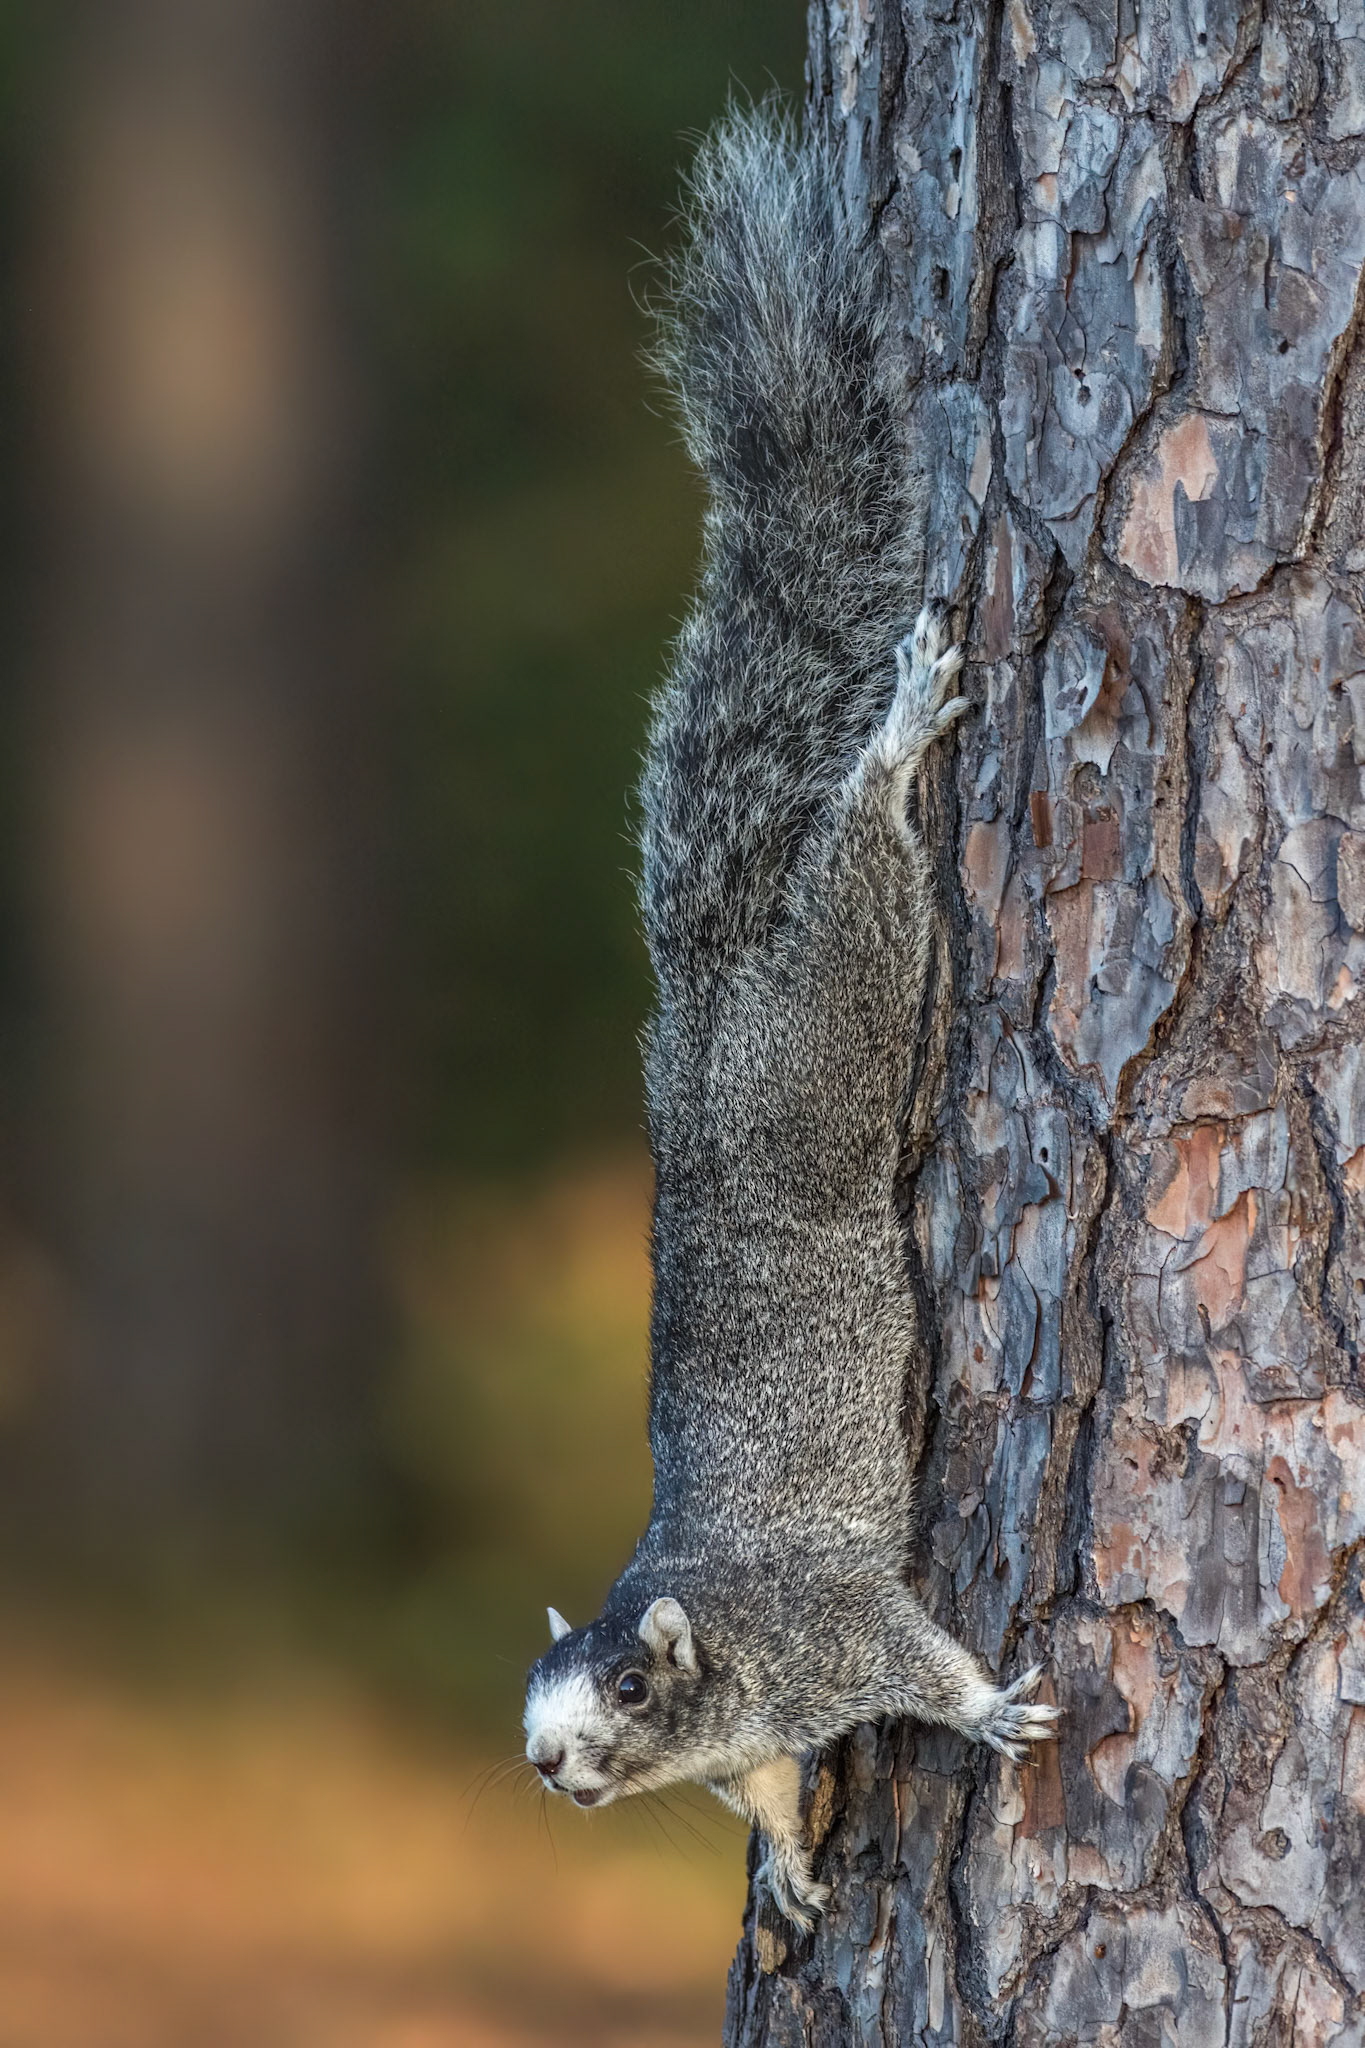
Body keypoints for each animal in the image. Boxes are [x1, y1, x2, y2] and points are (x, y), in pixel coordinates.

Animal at [522, 102, 1058, 1930]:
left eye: (625, 1689)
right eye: (531, 1714)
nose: (551, 1772)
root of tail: (706, 1013)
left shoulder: (836, 1625)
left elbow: (917, 1656)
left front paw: (991, 1707)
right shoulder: (756, 1731)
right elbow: (762, 1788)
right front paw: (793, 1863)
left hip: (835, 1016)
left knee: (868, 869)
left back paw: (891, 747)